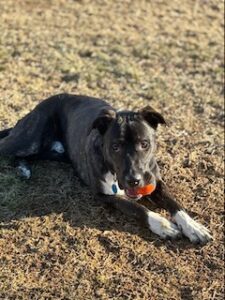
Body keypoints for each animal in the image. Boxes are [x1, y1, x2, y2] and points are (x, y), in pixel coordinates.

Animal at [0, 94, 212, 244]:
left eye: (144, 144)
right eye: (115, 146)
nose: (134, 180)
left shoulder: (155, 181)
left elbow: (174, 203)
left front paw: (193, 226)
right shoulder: (105, 196)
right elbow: (137, 208)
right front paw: (162, 224)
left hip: (52, 151)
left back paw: (24, 168)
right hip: (29, 139)